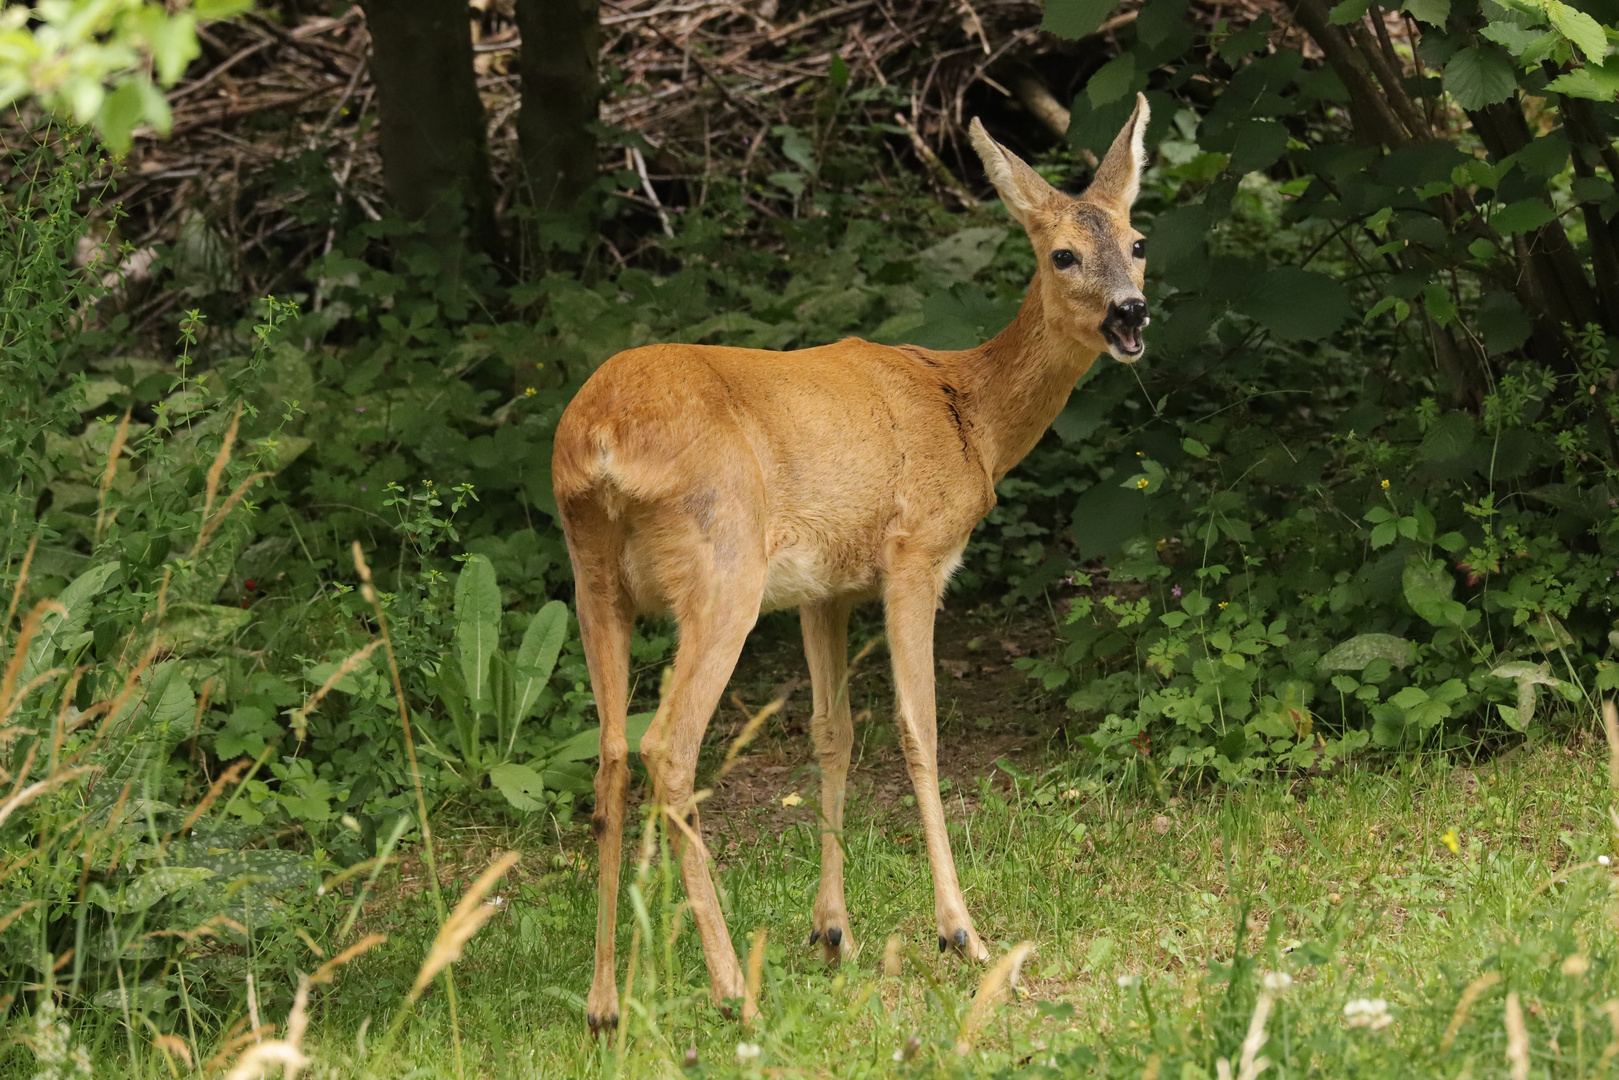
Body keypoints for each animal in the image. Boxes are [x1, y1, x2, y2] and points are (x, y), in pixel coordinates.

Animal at [556, 95, 1152, 1029]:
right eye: (1061, 253)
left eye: (1136, 239)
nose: (1131, 314)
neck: (969, 414)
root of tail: (603, 440)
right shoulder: (913, 555)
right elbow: (919, 727)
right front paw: (961, 933)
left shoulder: (822, 589)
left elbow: (830, 733)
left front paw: (832, 933)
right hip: (721, 570)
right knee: (666, 751)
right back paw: (732, 991)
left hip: (592, 579)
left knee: (611, 753)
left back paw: (604, 1004)